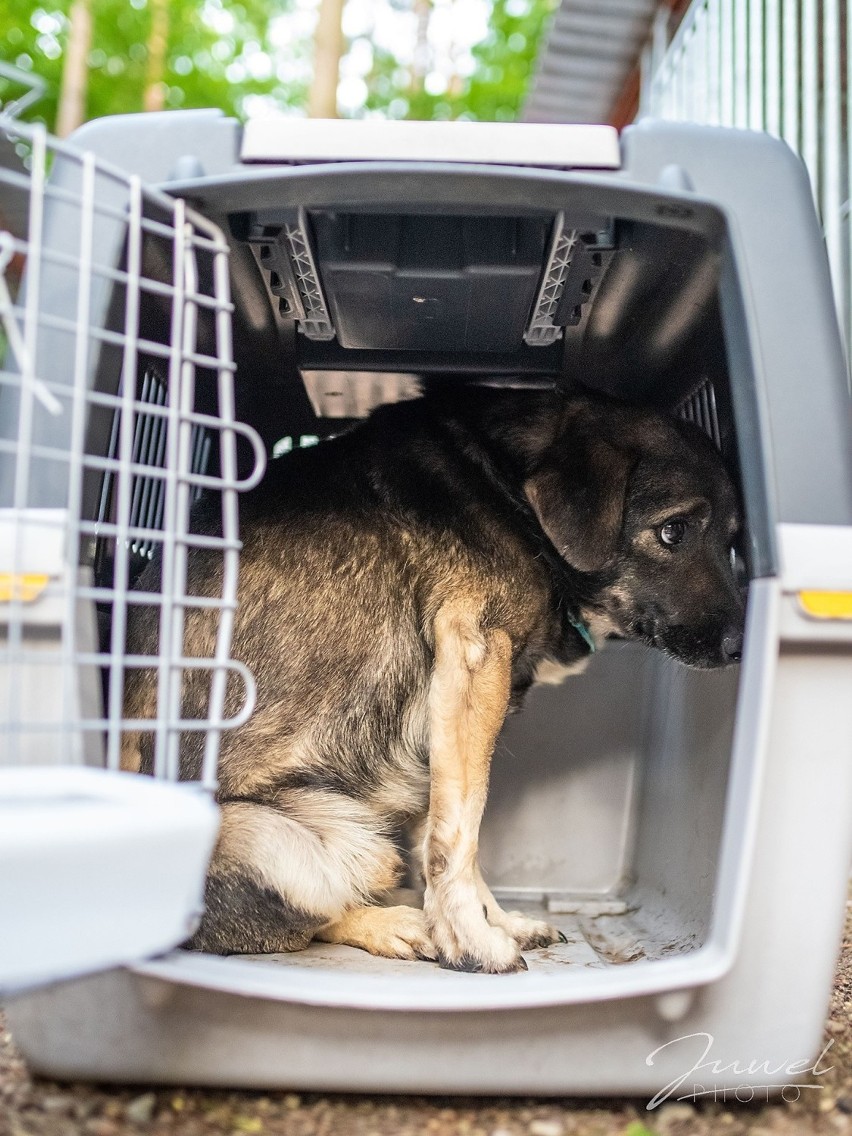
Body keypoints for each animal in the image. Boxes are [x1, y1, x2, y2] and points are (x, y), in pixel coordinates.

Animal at [121, 386, 745, 972]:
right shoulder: (473, 658)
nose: (741, 646)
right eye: (673, 532)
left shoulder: (447, 713)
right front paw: (469, 940)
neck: (509, 491)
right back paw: (398, 926)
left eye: (733, 540)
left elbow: (442, 835)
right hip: (294, 840)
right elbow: (457, 835)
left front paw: (494, 922)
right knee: (295, 921)